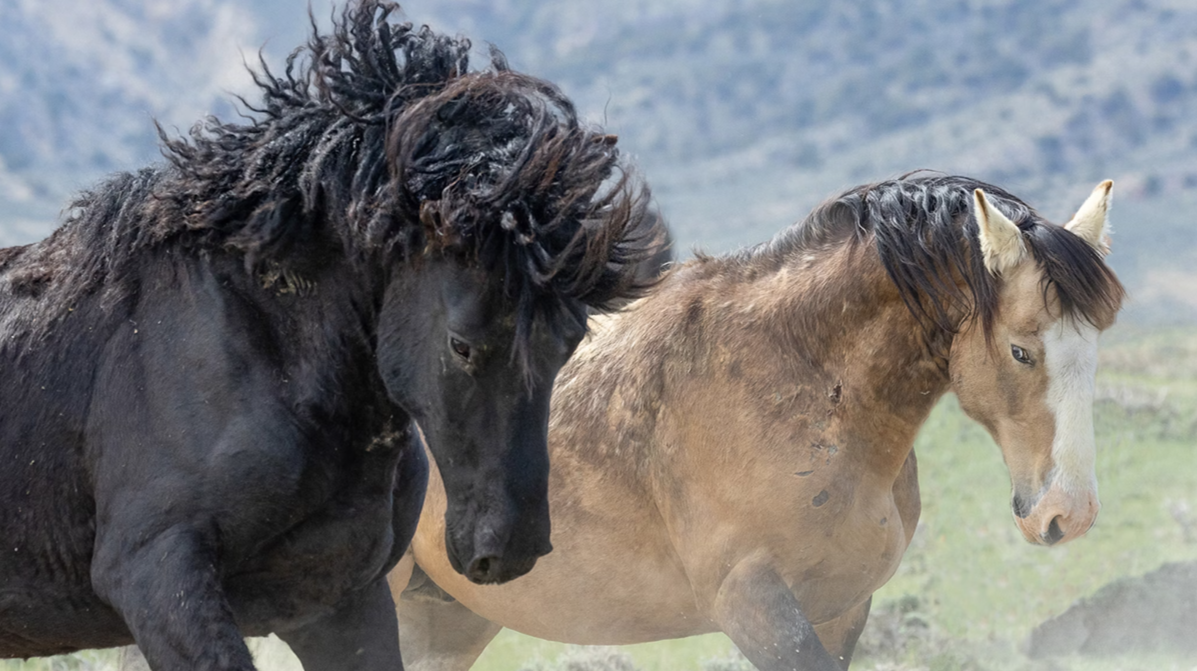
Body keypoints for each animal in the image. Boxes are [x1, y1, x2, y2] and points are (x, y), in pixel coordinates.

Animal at [0, 2, 665, 665]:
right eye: (461, 344)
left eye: (569, 343)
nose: (509, 549)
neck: (262, 347)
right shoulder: (156, 578)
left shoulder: (340, 603)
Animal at [392, 175, 1120, 665]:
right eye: (1021, 350)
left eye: (1094, 345)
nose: (1071, 512)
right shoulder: (754, 604)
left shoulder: (841, 609)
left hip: (443, 616)